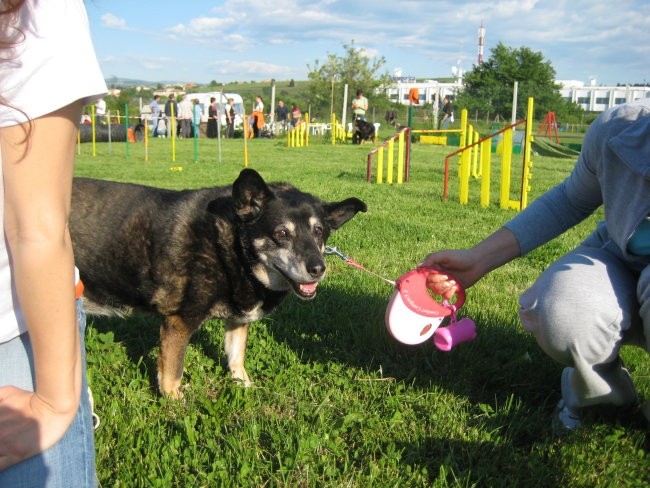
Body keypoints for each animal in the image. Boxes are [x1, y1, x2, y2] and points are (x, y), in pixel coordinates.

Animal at [71, 168, 368, 396]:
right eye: (282, 233)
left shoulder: (238, 320)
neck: (231, 249)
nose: (318, 269)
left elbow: (236, 359)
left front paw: (245, 387)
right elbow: (172, 375)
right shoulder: (178, 322)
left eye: (319, 232)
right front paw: (175, 405)